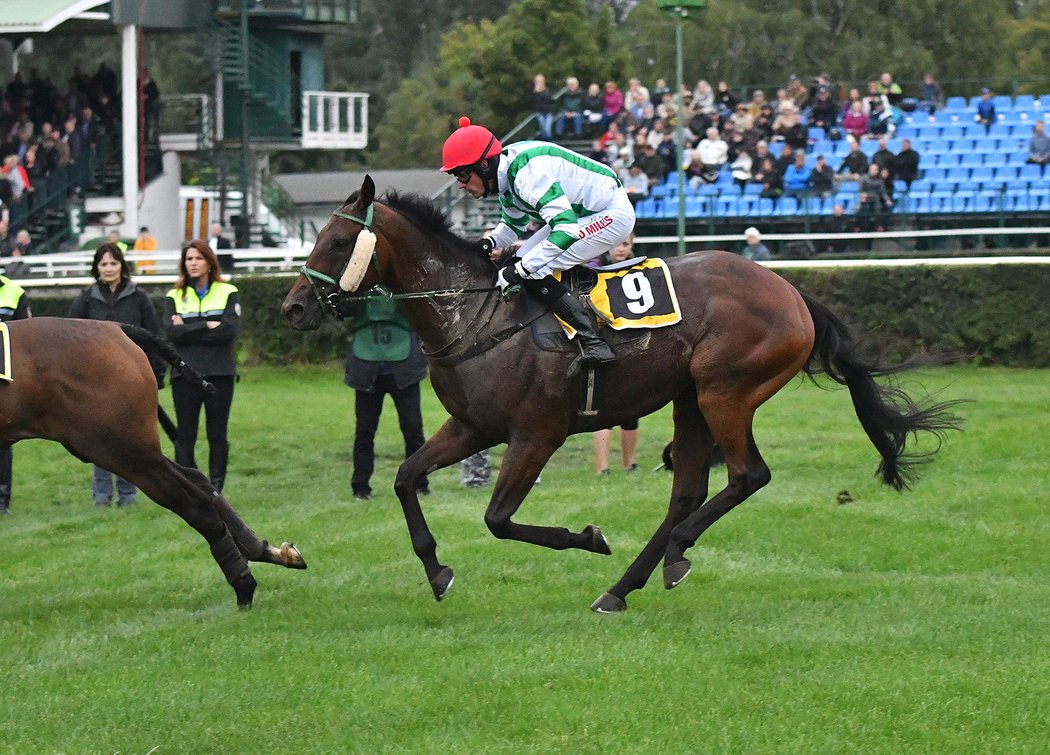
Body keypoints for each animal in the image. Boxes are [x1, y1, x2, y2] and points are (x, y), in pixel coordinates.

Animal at [0, 317, 306, 609]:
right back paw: (261, 550)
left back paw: (244, 585)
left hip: (123, 451)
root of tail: (114, 327)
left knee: (196, 503)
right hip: (127, 449)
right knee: (199, 480)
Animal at [279, 177, 961, 613]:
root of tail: (792, 293)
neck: (473, 316)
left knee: (747, 476)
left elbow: (499, 519)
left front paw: (588, 537)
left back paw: (670, 553)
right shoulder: (474, 427)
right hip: (691, 400)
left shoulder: (538, 432)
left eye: (336, 242)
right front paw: (438, 571)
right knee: (688, 491)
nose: (292, 309)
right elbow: (404, 479)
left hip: (726, 392)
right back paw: (626, 585)